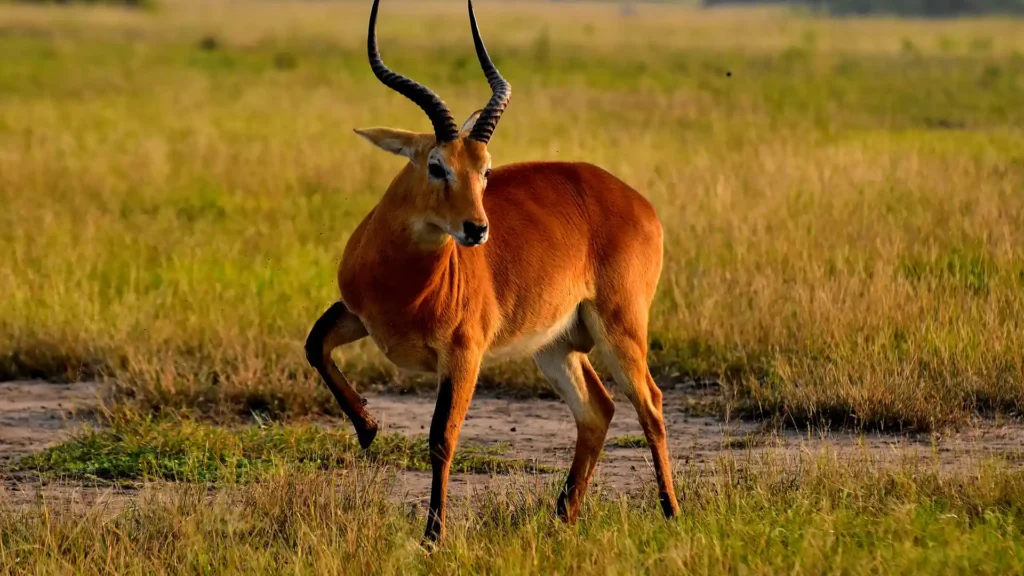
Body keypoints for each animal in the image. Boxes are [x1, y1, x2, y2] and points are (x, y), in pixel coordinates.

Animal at [307, 0, 684, 541]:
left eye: (486, 170)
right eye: (436, 164)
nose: (477, 229)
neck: (405, 280)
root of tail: (637, 201)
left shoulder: (464, 354)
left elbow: (442, 437)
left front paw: (432, 537)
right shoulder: (357, 313)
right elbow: (315, 344)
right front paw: (368, 428)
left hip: (620, 328)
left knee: (649, 404)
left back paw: (671, 511)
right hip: (555, 344)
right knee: (598, 409)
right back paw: (562, 517)